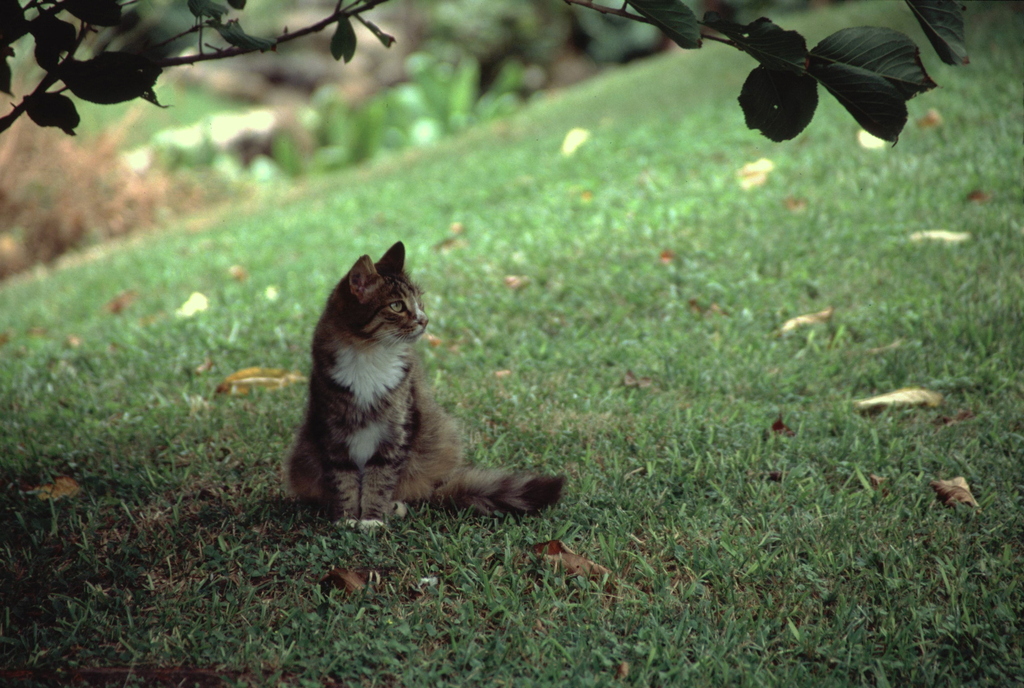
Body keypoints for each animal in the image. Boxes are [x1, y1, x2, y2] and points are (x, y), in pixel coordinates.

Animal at [284, 239, 565, 524]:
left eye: (420, 303)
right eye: (397, 306)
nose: (424, 320)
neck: (370, 354)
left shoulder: (396, 432)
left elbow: (379, 481)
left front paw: (372, 519)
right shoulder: (333, 433)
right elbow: (344, 483)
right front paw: (348, 519)